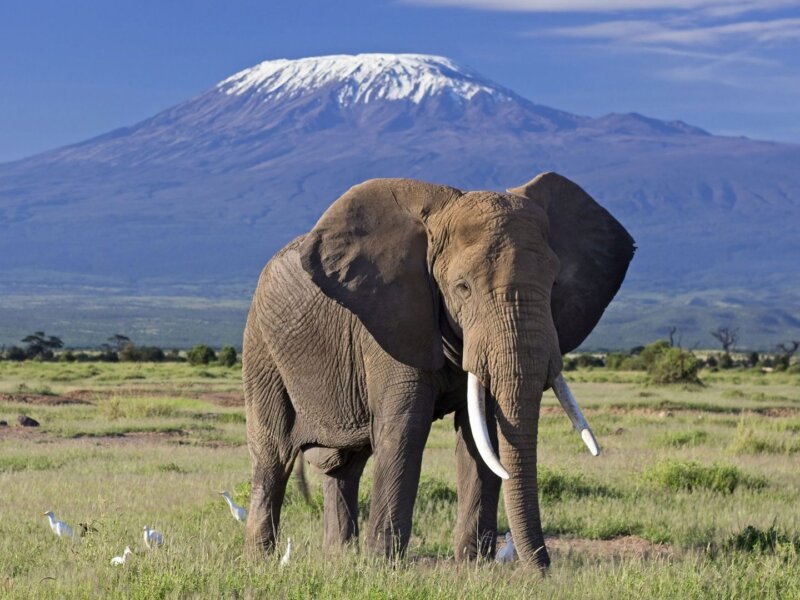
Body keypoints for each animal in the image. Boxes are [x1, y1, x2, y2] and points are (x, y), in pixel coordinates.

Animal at [242, 172, 634, 569]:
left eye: (554, 284)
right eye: (463, 288)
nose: (543, 571)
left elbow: (482, 433)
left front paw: (474, 567)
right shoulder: (392, 321)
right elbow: (405, 429)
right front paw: (384, 567)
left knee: (345, 465)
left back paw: (340, 558)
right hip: (261, 345)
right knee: (274, 453)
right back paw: (261, 561)